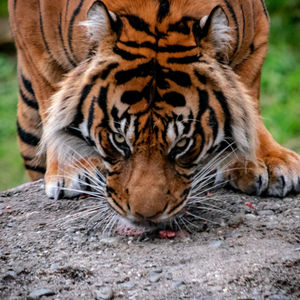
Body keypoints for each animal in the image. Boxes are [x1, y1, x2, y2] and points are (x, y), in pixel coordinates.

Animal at [9, 0, 300, 225]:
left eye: (182, 144)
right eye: (118, 139)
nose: (145, 216)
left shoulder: (256, 37)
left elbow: (247, 101)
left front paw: (263, 162)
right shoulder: (34, 41)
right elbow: (53, 96)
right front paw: (73, 166)